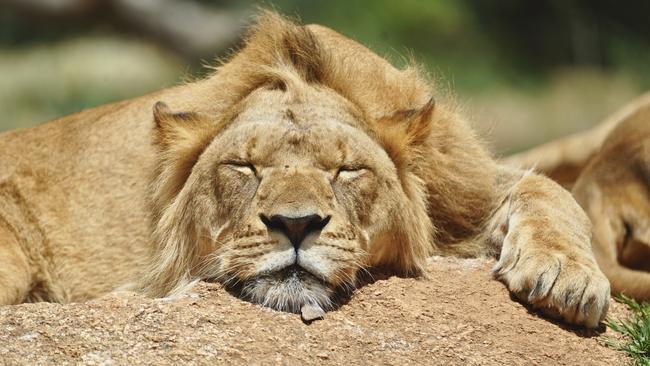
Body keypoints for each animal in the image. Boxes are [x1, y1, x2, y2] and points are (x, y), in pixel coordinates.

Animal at [0, 11, 608, 328]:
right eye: (244, 166)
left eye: (346, 170)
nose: (295, 225)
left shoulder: (465, 188)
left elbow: (548, 189)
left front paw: (566, 276)